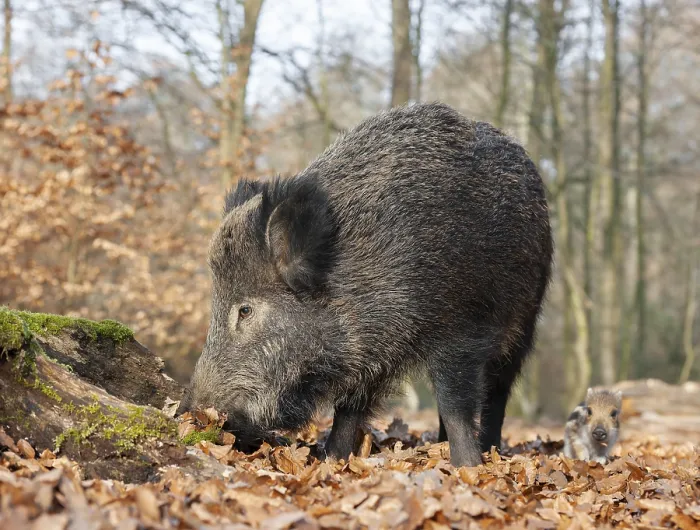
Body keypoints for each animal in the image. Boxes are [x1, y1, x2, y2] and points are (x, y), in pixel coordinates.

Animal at [177, 102, 553, 468]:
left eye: (245, 309)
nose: (191, 414)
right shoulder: (368, 352)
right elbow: (349, 408)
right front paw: (332, 459)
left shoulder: (459, 329)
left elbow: (453, 403)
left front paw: (468, 466)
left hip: (525, 317)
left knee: (498, 389)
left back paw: (488, 449)